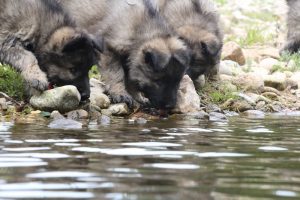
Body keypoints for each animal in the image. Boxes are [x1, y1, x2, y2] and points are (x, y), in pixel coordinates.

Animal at [58, 0, 190, 109]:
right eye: (159, 81)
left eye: (177, 81)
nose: (170, 106)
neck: (140, 30)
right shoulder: (109, 50)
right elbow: (116, 75)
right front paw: (120, 93)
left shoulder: (130, 58)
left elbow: (131, 79)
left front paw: (137, 96)